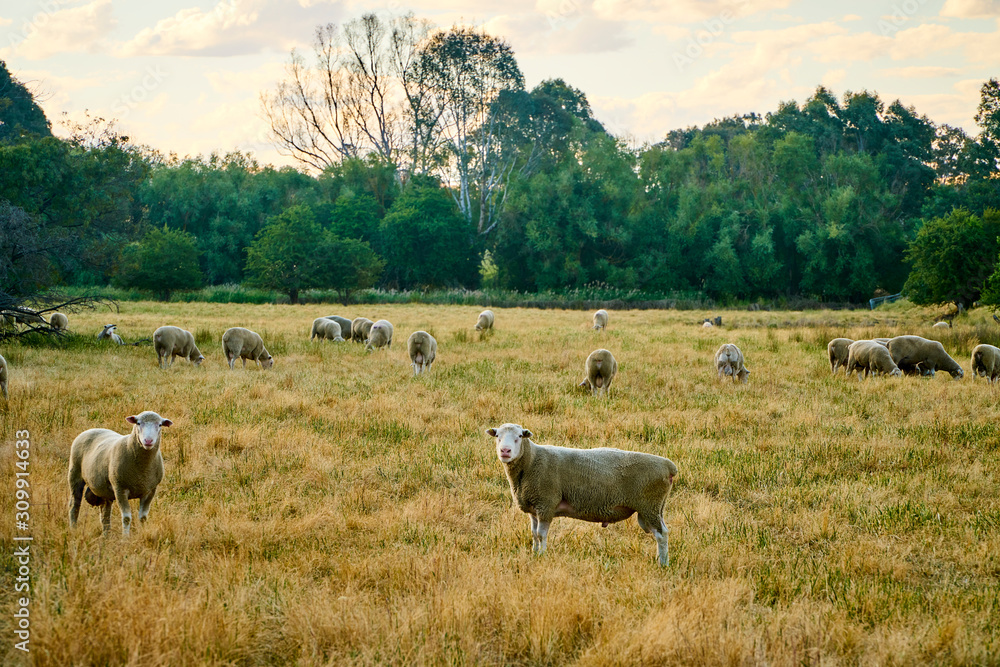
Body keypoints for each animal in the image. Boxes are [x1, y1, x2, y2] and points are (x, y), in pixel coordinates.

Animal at [486, 423, 678, 566]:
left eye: (519, 436)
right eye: (497, 436)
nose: (505, 451)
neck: (532, 460)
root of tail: (669, 466)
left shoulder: (546, 504)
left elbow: (541, 534)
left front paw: (542, 556)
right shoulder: (535, 508)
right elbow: (534, 534)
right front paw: (534, 553)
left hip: (649, 505)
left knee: (662, 535)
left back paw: (663, 564)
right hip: (654, 508)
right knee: (661, 532)